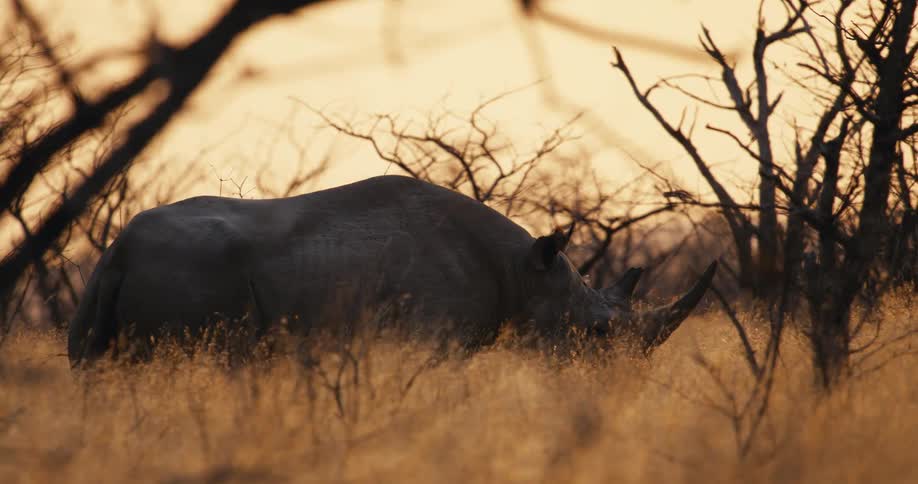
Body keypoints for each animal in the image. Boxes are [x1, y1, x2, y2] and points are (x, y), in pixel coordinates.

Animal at [68, 175, 716, 366]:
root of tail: (117, 250)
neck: (526, 269)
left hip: (103, 286)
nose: (622, 378)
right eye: (598, 333)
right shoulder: (433, 339)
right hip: (192, 273)